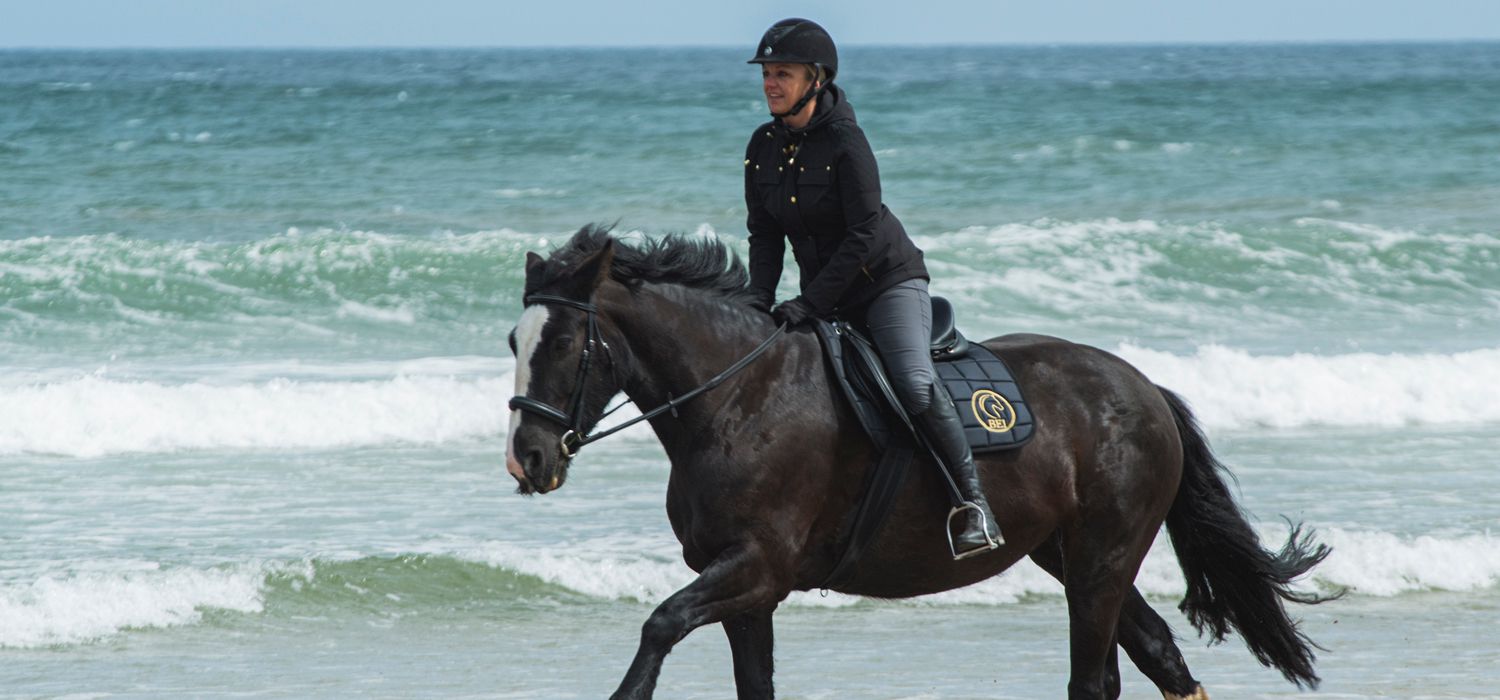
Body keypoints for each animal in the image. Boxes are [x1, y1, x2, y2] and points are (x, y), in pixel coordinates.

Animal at [507, 227, 1338, 698]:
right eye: (513, 341)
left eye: (565, 342)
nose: (528, 459)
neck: (737, 397)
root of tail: (1144, 389)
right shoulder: (749, 594)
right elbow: (751, 682)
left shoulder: (755, 568)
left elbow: (658, 627)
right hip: (1069, 555)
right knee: (1156, 655)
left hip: (1103, 558)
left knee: (1094, 675)